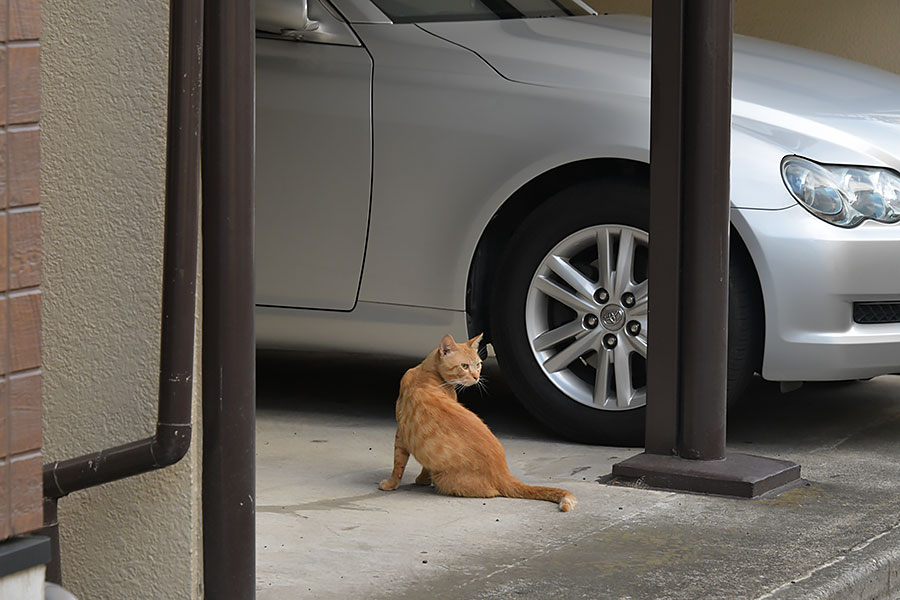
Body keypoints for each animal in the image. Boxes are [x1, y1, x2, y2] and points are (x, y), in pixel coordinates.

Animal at [378, 332, 576, 510]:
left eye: (478, 364)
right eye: (464, 365)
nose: (476, 377)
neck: (425, 372)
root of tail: (503, 471)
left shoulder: (401, 433)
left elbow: (399, 463)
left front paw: (392, 483)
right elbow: (415, 463)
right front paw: (418, 480)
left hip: (444, 478)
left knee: (491, 492)